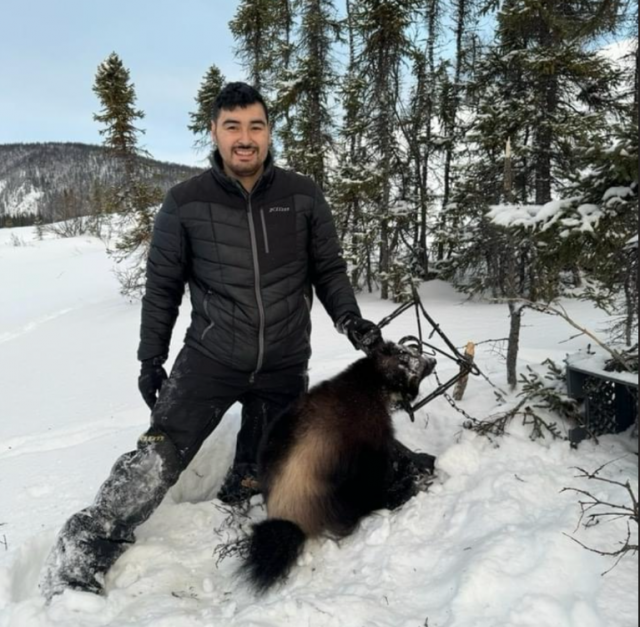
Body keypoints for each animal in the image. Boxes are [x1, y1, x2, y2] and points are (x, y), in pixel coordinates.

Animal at [241, 341, 436, 592]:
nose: (433, 360)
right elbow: (385, 458)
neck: (369, 383)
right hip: (336, 491)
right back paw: (402, 491)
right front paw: (411, 475)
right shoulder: (372, 430)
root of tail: (283, 510)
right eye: (413, 358)